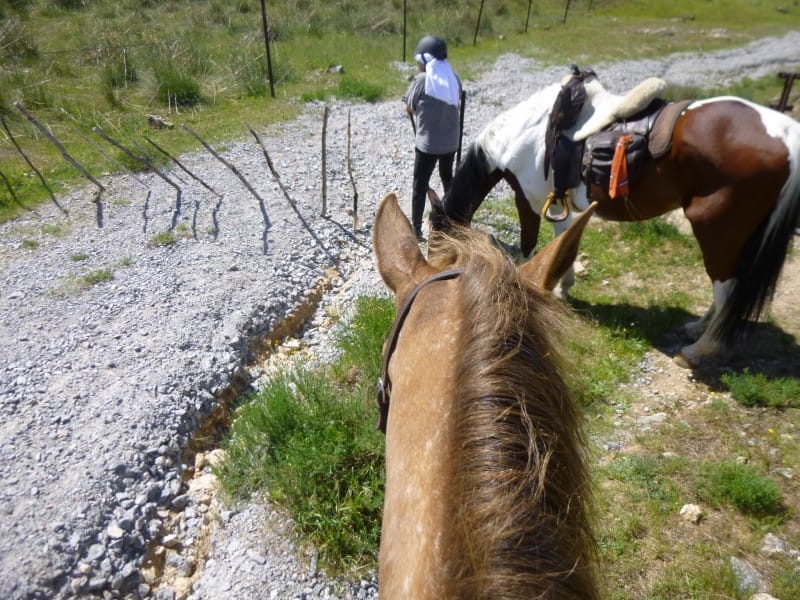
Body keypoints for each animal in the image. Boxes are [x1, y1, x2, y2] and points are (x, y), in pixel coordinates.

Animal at [432, 72, 800, 368]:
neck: (519, 135)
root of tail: (787, 135)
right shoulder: (557, 202)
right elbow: (562, 238)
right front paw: (563, 287)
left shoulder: (531, 200)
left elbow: (532, 244)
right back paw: (696, 328)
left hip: (717, 229)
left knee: (727, 287)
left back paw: (699, 350)